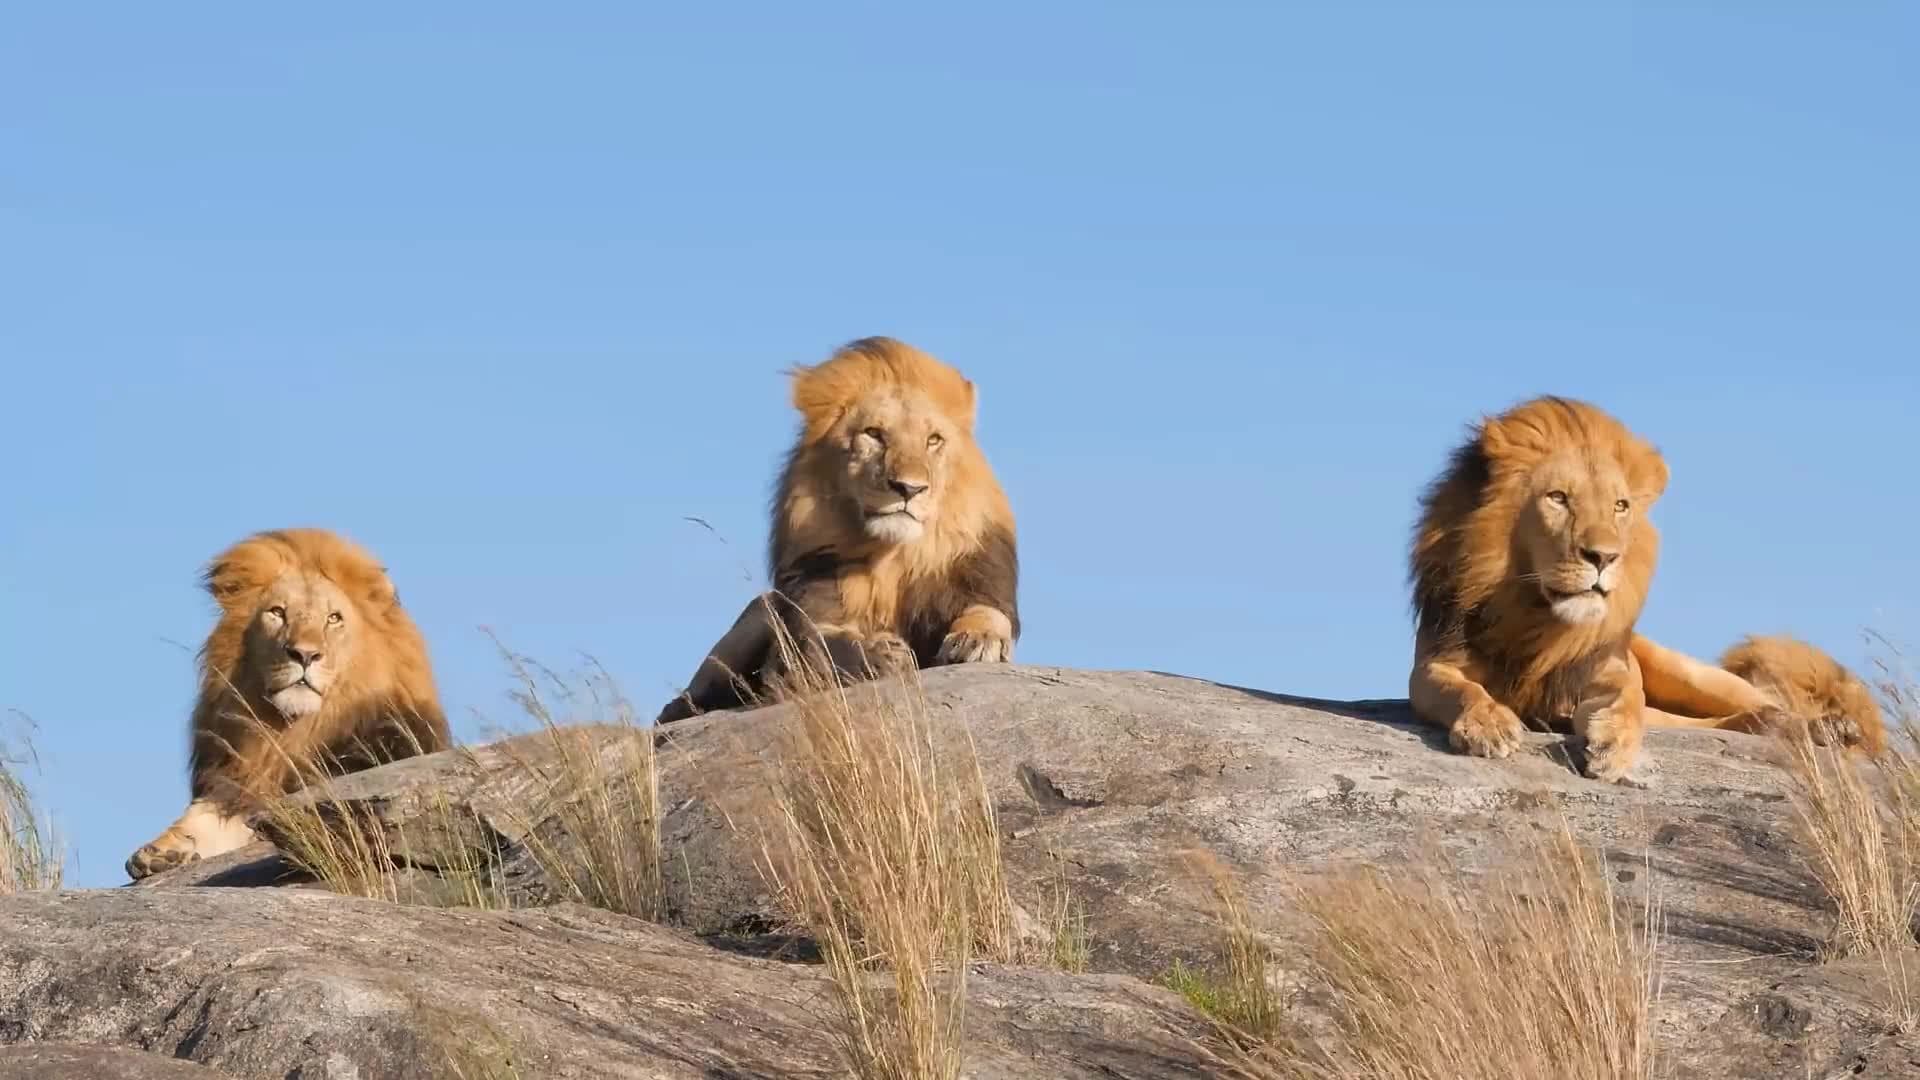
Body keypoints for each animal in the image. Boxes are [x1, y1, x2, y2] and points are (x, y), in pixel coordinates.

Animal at [125, 528, 449, 880]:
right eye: (278, 612)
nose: (304, 655)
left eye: (333, 618)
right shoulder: (238, 782)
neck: (292, 732)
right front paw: (159, 852)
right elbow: (201, 818)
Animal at [657, 336, 1019, 723]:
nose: (909, 488)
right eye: (874, 434)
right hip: (760, 610)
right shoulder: (812, 617)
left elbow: (990, 613)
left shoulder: (974, 582)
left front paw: (977, 640)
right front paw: (880, 653)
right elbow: (825, 646)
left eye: (933, 440)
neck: (892, 558)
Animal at [1409, 396, 1882, 783]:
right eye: (1558, 498)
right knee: (1733, 720)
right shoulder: (1433, 665)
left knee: (1765, 704)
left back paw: (1828, 728)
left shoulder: (1610, 667)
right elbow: (1460, 689)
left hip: (1689, 673)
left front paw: (1612, 745)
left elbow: (1627, 697)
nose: (1603, 557)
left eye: (1620, 506)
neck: (1536, 617)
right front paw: (1488, 723)